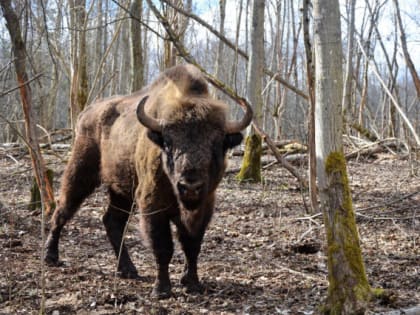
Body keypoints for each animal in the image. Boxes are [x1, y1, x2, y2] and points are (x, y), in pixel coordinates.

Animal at [45, 64, 253, 298]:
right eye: (168, 143)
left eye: (217, 143)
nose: (190, 186)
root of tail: (86, 113)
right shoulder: (153, 206)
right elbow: (163, 247)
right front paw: (161, 290)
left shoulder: (204, 207)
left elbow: (192, 245)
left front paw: (192, 283)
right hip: (81, 172)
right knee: (62, 210)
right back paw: (51, 257)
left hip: (121, 191)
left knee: (112, 221)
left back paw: (127, 270)